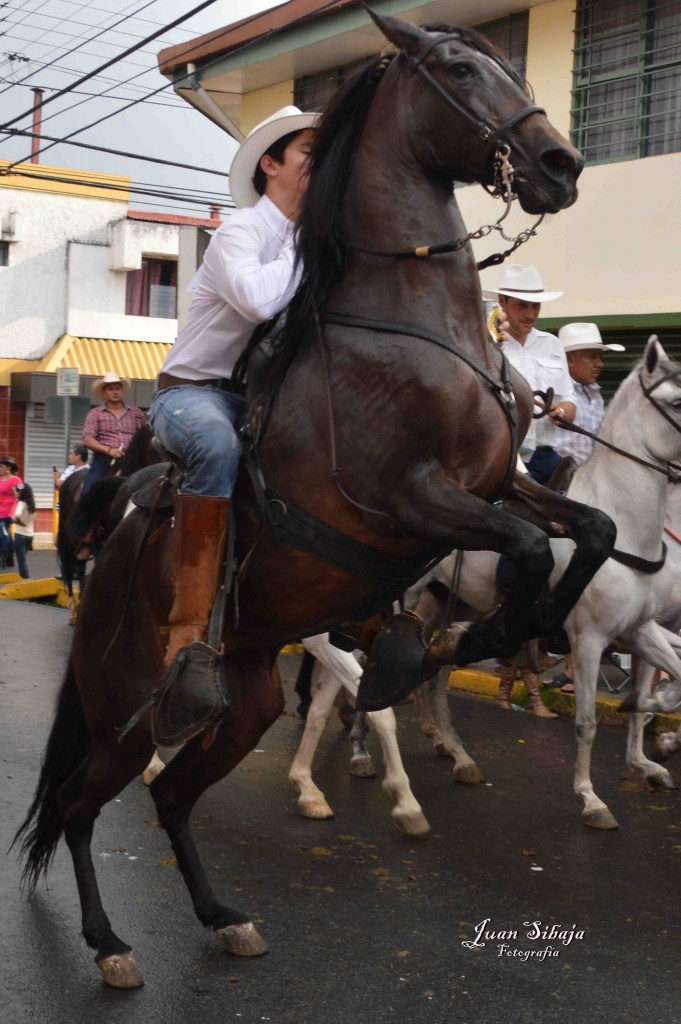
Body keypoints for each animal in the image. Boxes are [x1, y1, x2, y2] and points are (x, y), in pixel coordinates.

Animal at [15, 14, 614, 991]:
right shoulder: (411, 495)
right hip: (124, 712)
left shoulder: (500, 483)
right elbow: (526, 552)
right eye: (459, 68)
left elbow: (589, 531)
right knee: (77, 803)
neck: (416, 320)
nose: (559, 164)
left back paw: (222, 917)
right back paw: (107, 942)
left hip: (247, 700)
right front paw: (457, 641)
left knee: (171, 797)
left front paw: (490, 640)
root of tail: (99, 578)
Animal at [419, 339, 679, 827]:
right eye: (676, 402)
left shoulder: (639, 629)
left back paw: (456, 753)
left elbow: (667, 685)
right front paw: (591, 798)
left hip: (456, 604)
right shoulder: (589, 638)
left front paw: (648, 737)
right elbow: (587, 722)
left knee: (436, 674)